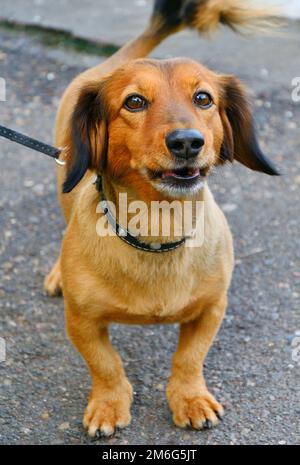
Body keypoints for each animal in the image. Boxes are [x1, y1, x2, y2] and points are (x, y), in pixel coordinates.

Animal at [43, 0, 278, 436]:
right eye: (134, 102)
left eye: (203, 98)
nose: (187, 142)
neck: (157, 227)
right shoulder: (81, 322)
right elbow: (106, 365)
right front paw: (108, 404)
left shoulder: (212, 308)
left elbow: (189, 359)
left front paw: (190, 398)